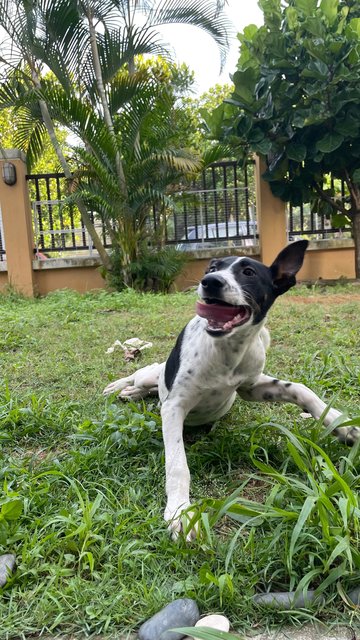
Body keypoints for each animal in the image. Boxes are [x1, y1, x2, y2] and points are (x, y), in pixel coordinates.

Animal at [102, 241, 358, 540]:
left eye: (248, 272)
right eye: (212, 268)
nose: (210, 281)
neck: (226, 350)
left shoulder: (251, 387)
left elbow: (301, 390)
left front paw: (343, 427)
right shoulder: (175, 406)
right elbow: (177, 464)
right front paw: (180, 512)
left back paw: (130, 393)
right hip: (152, 374)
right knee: (143, 375)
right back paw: (121, 387)